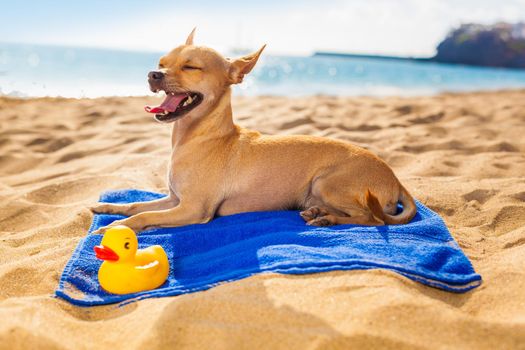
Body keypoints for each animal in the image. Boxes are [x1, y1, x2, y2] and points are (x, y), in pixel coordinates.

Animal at [91, 28, 418, 234]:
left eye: (191, 67)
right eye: (161, 63)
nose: (152, 74)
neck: (196, 136)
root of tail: (395, 178)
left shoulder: (192, 209)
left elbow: (145, 215)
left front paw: (116, 227)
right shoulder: (174, 200)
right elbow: (136, 204)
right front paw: (109, 207)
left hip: (327, 183)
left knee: (373, 219)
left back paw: (329, 221)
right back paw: (320, 214)